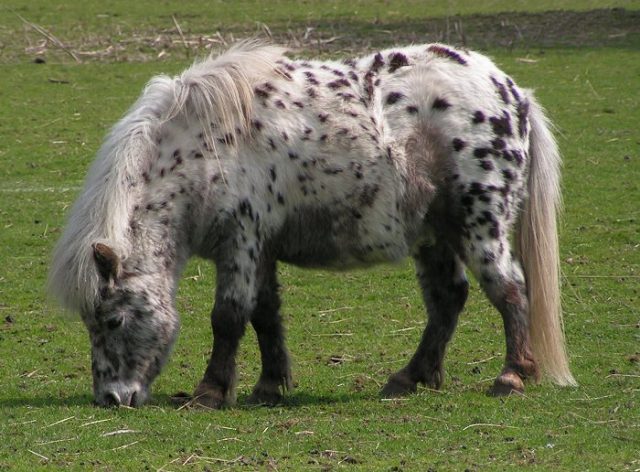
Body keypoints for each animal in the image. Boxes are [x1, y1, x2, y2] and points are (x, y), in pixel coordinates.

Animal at [47, 40, 576, 408]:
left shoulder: (239, 240)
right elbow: (265, 314)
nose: (112, 398)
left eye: (113, 319)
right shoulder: (259, 247)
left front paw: (211, 392)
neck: (201, 146)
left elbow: (229, 317)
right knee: (448, 299)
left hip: (480, 223)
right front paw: (268, 386)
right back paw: (410, 378)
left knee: (510, 290)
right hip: (434, 232)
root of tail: (514, 94)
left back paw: (510, 376)